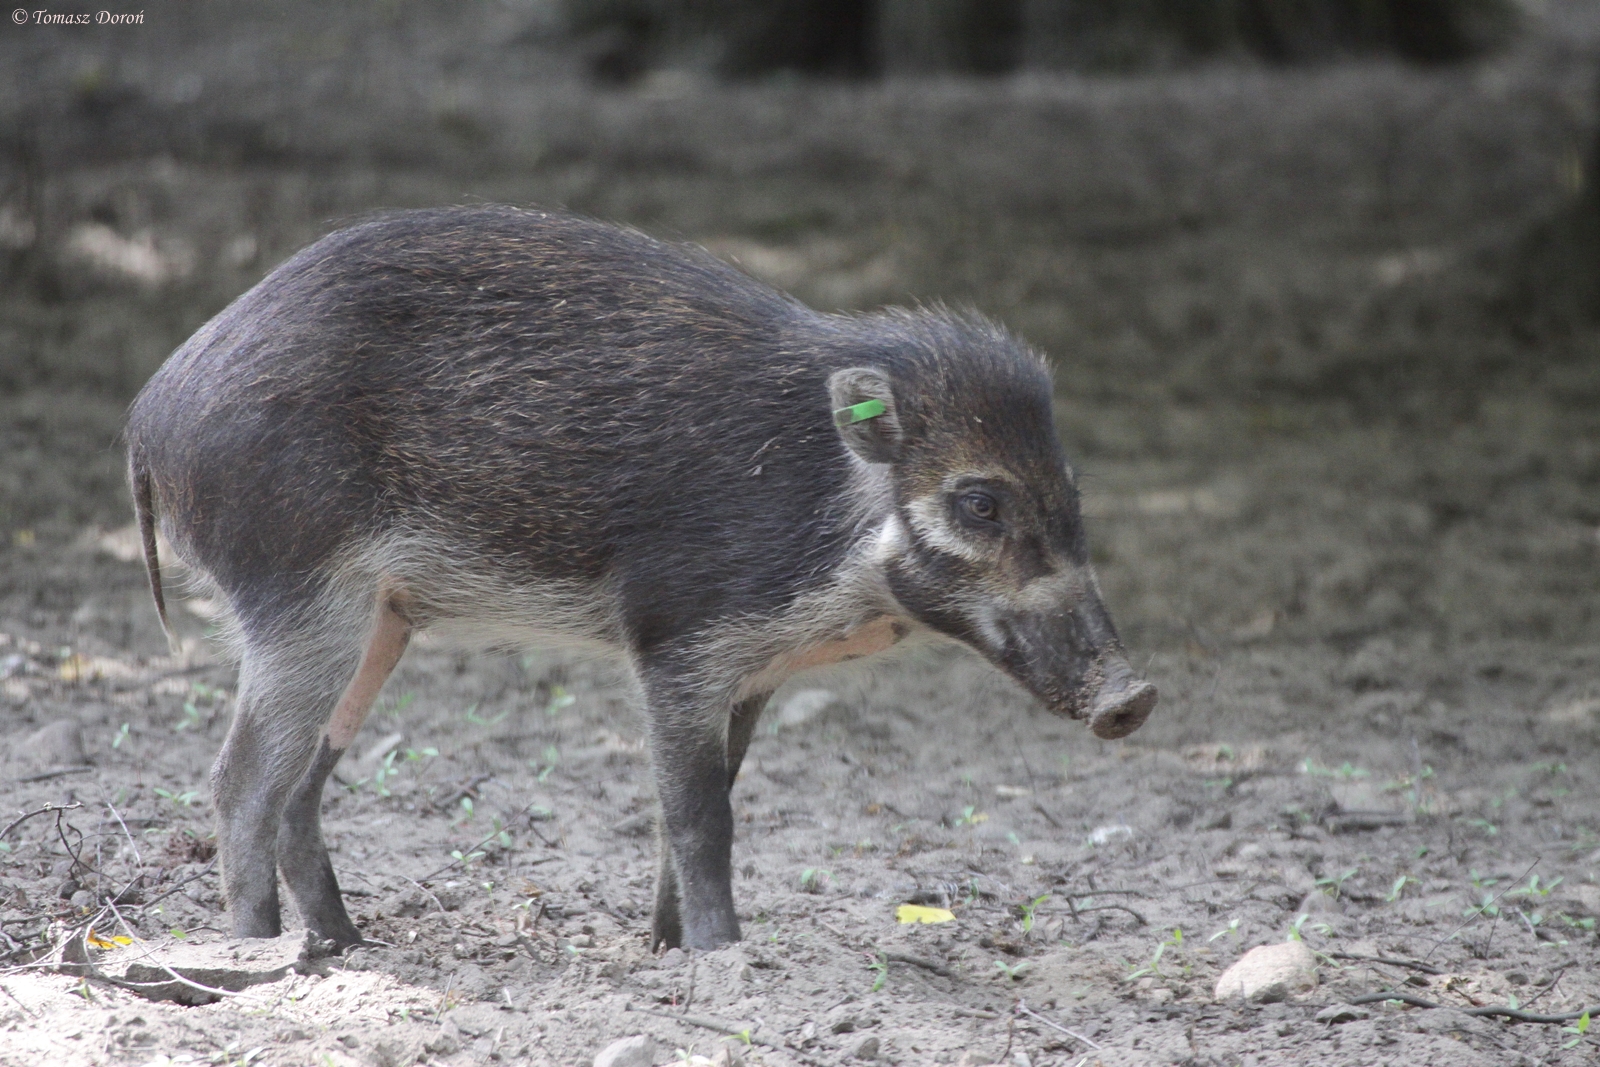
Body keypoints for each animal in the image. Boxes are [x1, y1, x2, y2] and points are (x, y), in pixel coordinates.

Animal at [125, 205, 1155, 952]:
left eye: (1070, 490)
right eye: (979, 502)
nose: (1134, 695)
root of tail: (150, 414)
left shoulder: (754, 671)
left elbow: (698, 807)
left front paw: (665, 949)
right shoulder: (678, 635)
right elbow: (700, 817)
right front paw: (723, 956)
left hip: (382, 620)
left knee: (299, 790)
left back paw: (348, 946)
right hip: (298, 598)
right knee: (239, 781)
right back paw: (262, 954)